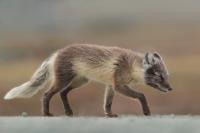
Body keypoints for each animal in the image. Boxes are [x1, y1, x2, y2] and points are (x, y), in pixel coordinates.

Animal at [3, 44, 172, 117]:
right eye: (159, 76)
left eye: (167, 76)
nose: (171, 89)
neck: (130, 66)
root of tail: (57, 52)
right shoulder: (118, 85)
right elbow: (142, 96)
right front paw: (146, 111)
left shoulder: (111, 86)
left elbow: (107, 103)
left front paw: (109, 114)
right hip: (63, 81)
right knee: (46, 94)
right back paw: (47, 114)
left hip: (80, 82)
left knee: (63, 94)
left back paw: (69, 112)